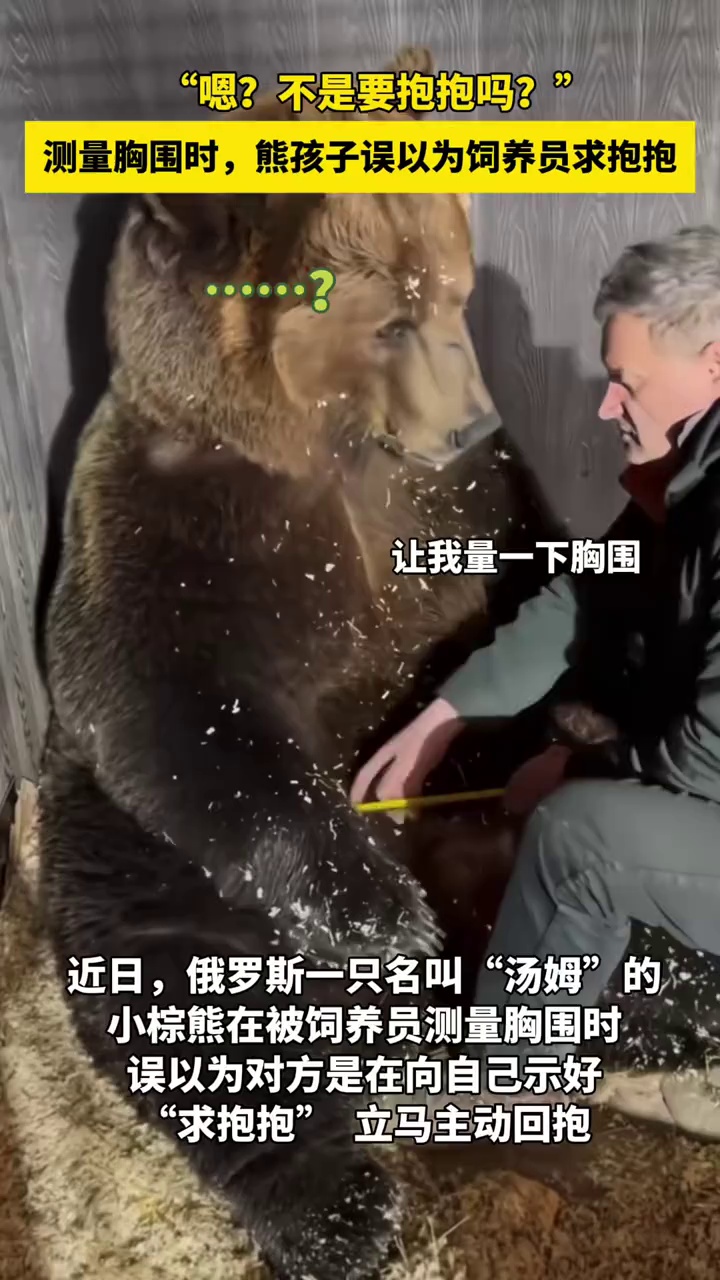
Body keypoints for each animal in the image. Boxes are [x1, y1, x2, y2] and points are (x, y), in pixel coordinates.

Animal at [35, 45, 559, 1280]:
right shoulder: (174, 518)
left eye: (454, 289)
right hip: (136, 859)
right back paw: (343, 1206)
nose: (469, 421)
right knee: (194, 1006)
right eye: (391, 318)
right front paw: (372, 905)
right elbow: (171, 700)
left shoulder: (459, 506)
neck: (333, 449)